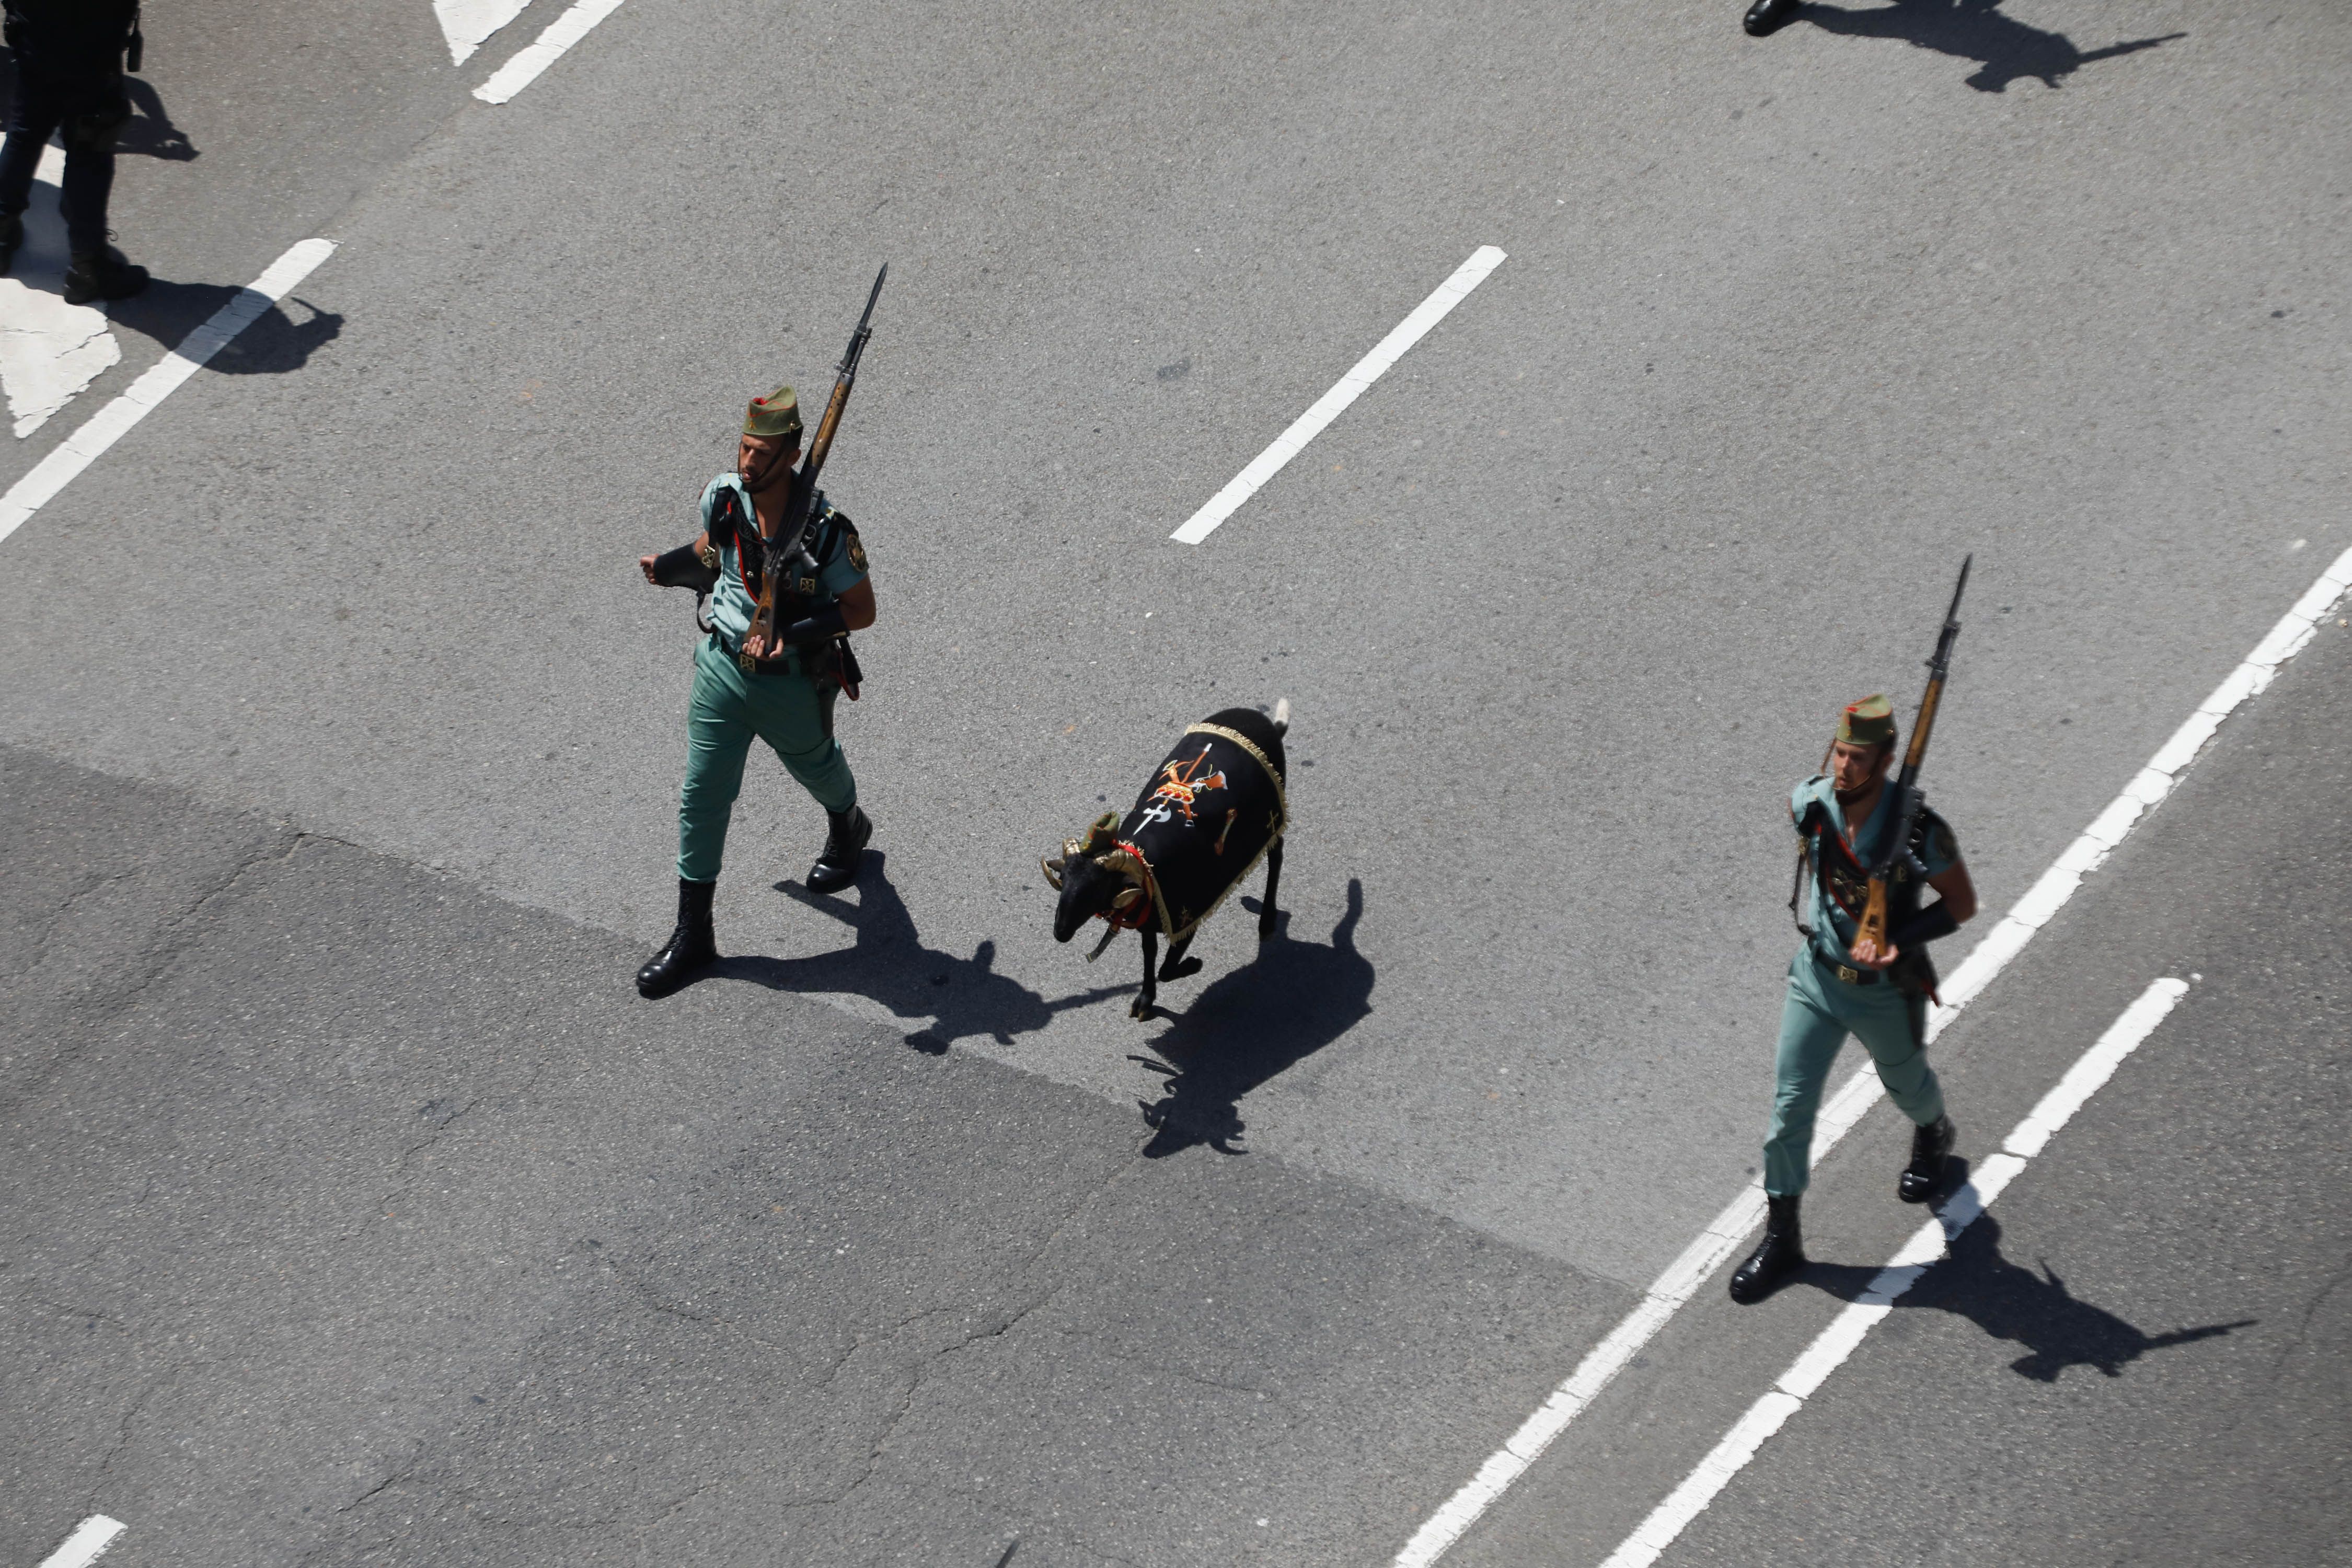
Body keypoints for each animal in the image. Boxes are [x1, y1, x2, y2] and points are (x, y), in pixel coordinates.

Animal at [1054, 700, 1298, 1020]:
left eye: (1095, 889)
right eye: (1063, 879)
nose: (1060, 933)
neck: (1143, 864)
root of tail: (1265, 721)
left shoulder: (1186, 913)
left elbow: (1167, 970)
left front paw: (1194, 965)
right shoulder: (1150, 913)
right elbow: (1150, 954)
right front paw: (1145, 1000)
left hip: (1271, 819)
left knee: (1276, 856)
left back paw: (1267, 920)